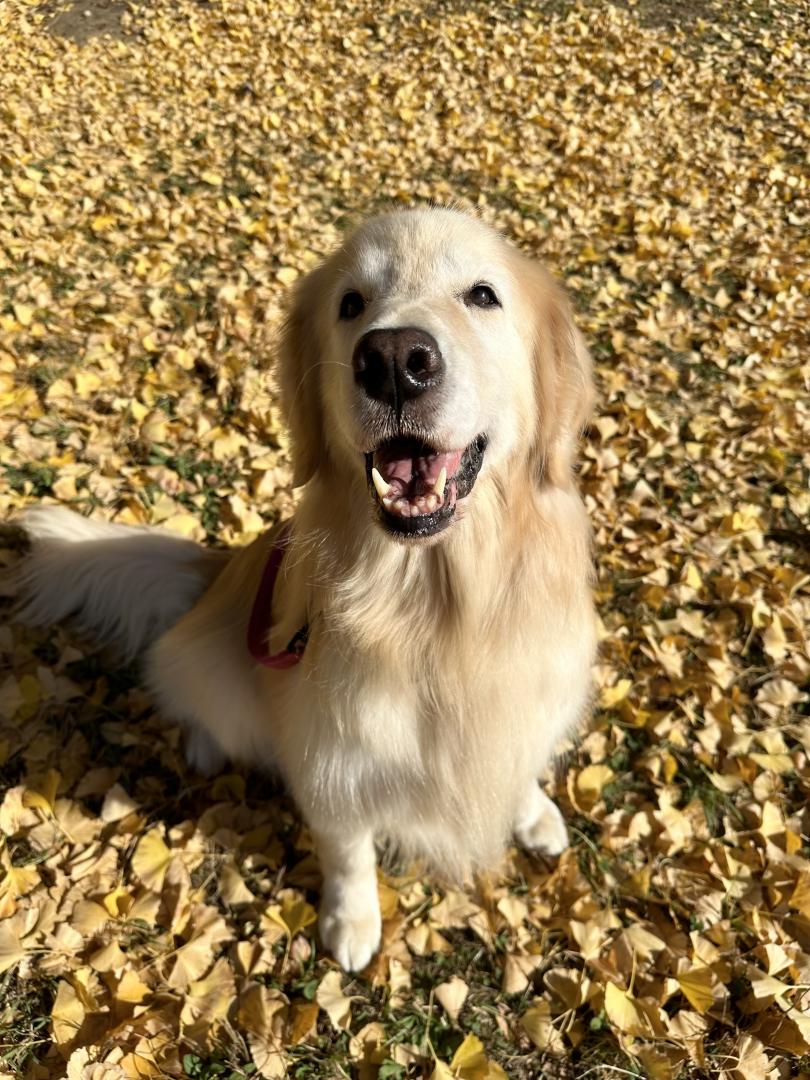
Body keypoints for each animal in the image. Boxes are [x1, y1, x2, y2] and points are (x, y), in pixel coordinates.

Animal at [11, 204, 596, 972]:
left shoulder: (529, 700)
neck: (437, 607)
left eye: (482, 295)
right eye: (350, 304)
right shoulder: (330, 750)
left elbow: (521, 765)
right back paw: (204, 746)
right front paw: (352, 922)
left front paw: (533, 816)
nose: (393, 361)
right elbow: (348, 850)